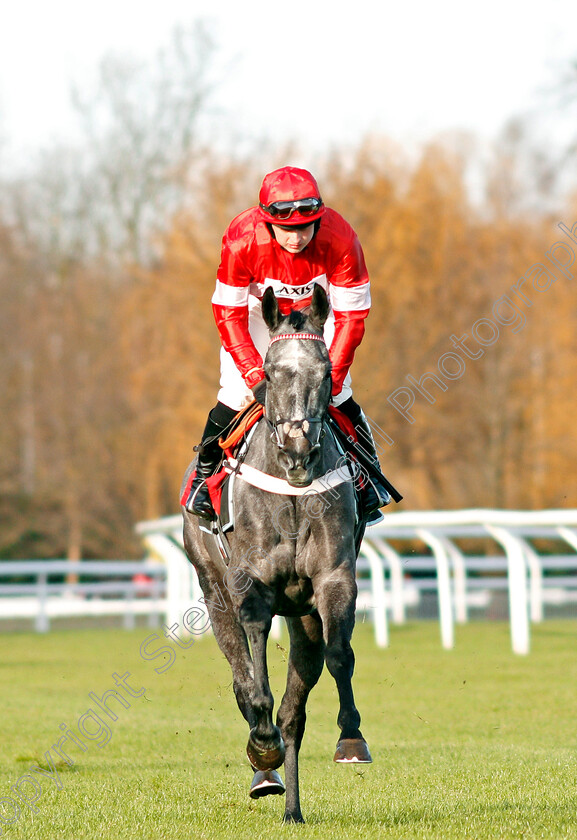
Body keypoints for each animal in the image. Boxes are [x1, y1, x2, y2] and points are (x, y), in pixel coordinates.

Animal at [184, 286, 374, 824]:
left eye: (327, 371)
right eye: (268, 373)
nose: (296, 451)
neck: (291, 494)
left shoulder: (333, 578)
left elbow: (339, 654)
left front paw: (351, 738)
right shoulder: (250, 585)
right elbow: (254, 674)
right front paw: (261, 741)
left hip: (302, 616)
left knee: (294, 710)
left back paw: (291, 807)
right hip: (212, 588)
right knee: (241, 678)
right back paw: (264, 767)